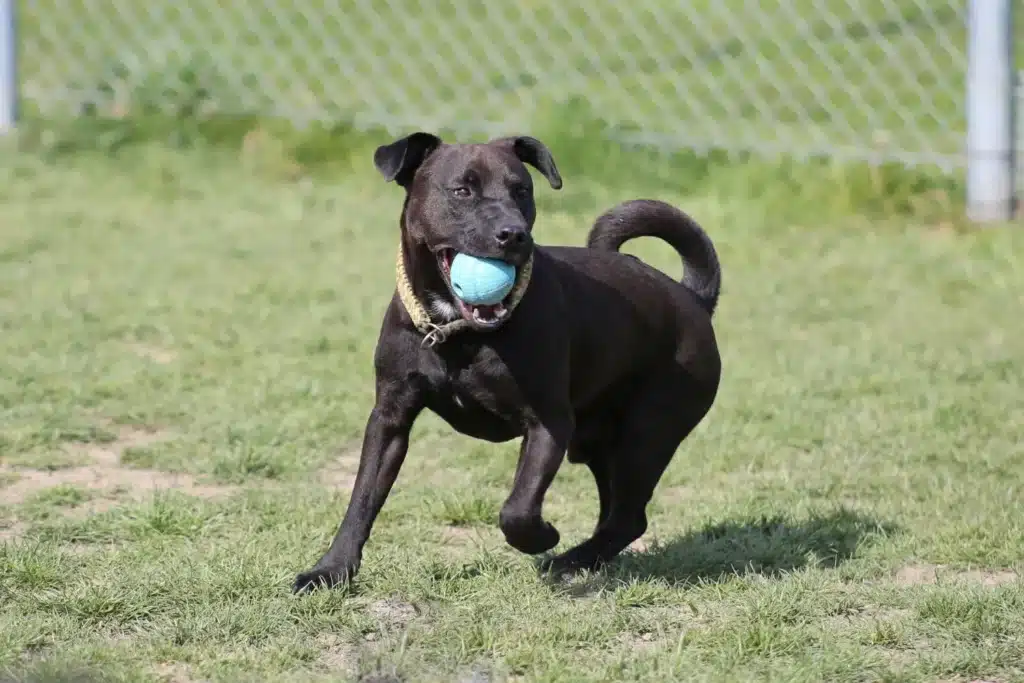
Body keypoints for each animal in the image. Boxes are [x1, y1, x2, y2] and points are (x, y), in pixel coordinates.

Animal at [292, 132, 724, 593]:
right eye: (462, 190)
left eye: (522, 191)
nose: (513, 234)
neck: (458, 331)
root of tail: (693, 297)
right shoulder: (390, 418)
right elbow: (363, 498)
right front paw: (330, 570)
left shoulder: (548, 423)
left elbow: (517, 508)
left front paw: (543, 537)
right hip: (598, 442)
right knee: (618, 514)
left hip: (646, 435)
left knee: (628, 517)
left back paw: (568, 560)